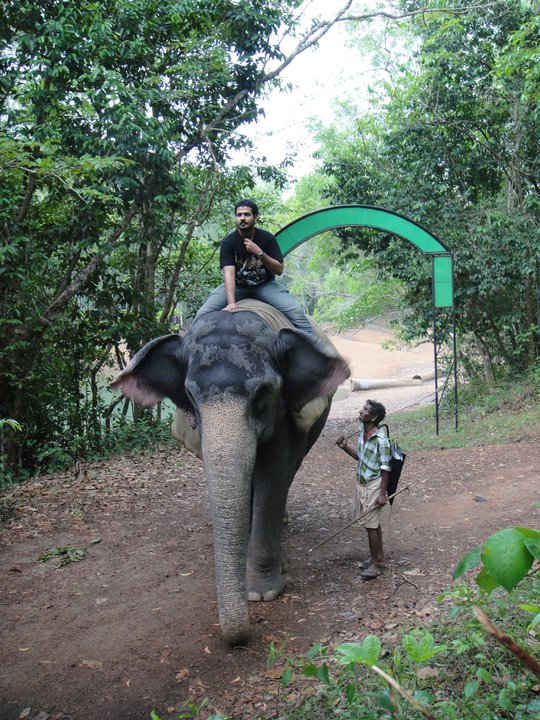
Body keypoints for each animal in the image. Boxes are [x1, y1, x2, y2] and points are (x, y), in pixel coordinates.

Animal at [113, 300, 350, 648]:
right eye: (189, 394)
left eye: (263, 391)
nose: (237, 640)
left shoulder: (284, 409)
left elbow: (273, 475)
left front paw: (261, 593)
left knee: (289, 471)